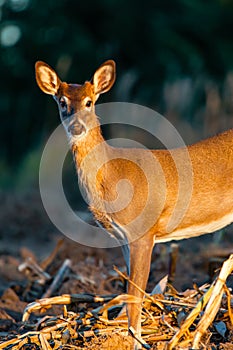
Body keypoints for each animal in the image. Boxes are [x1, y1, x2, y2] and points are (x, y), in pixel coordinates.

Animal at [35, 59, 233, 348]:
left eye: (89, 102)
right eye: (62, 102)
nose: (76, 127)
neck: (113, 177)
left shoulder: (143, 232)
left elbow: (135, 295)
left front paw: (138, 339)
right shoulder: (123, 239)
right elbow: (130, 289)